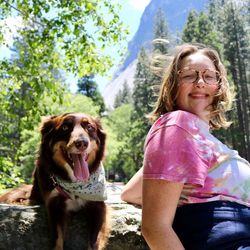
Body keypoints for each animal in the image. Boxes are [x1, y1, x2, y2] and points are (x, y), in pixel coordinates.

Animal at [0, 113, 109, 250]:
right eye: (65, 127)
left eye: (89, 127)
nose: (82, 143)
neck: (75, 183)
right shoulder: (55, 204)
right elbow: (58, 237)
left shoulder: (98, 205)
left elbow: (94, 240)